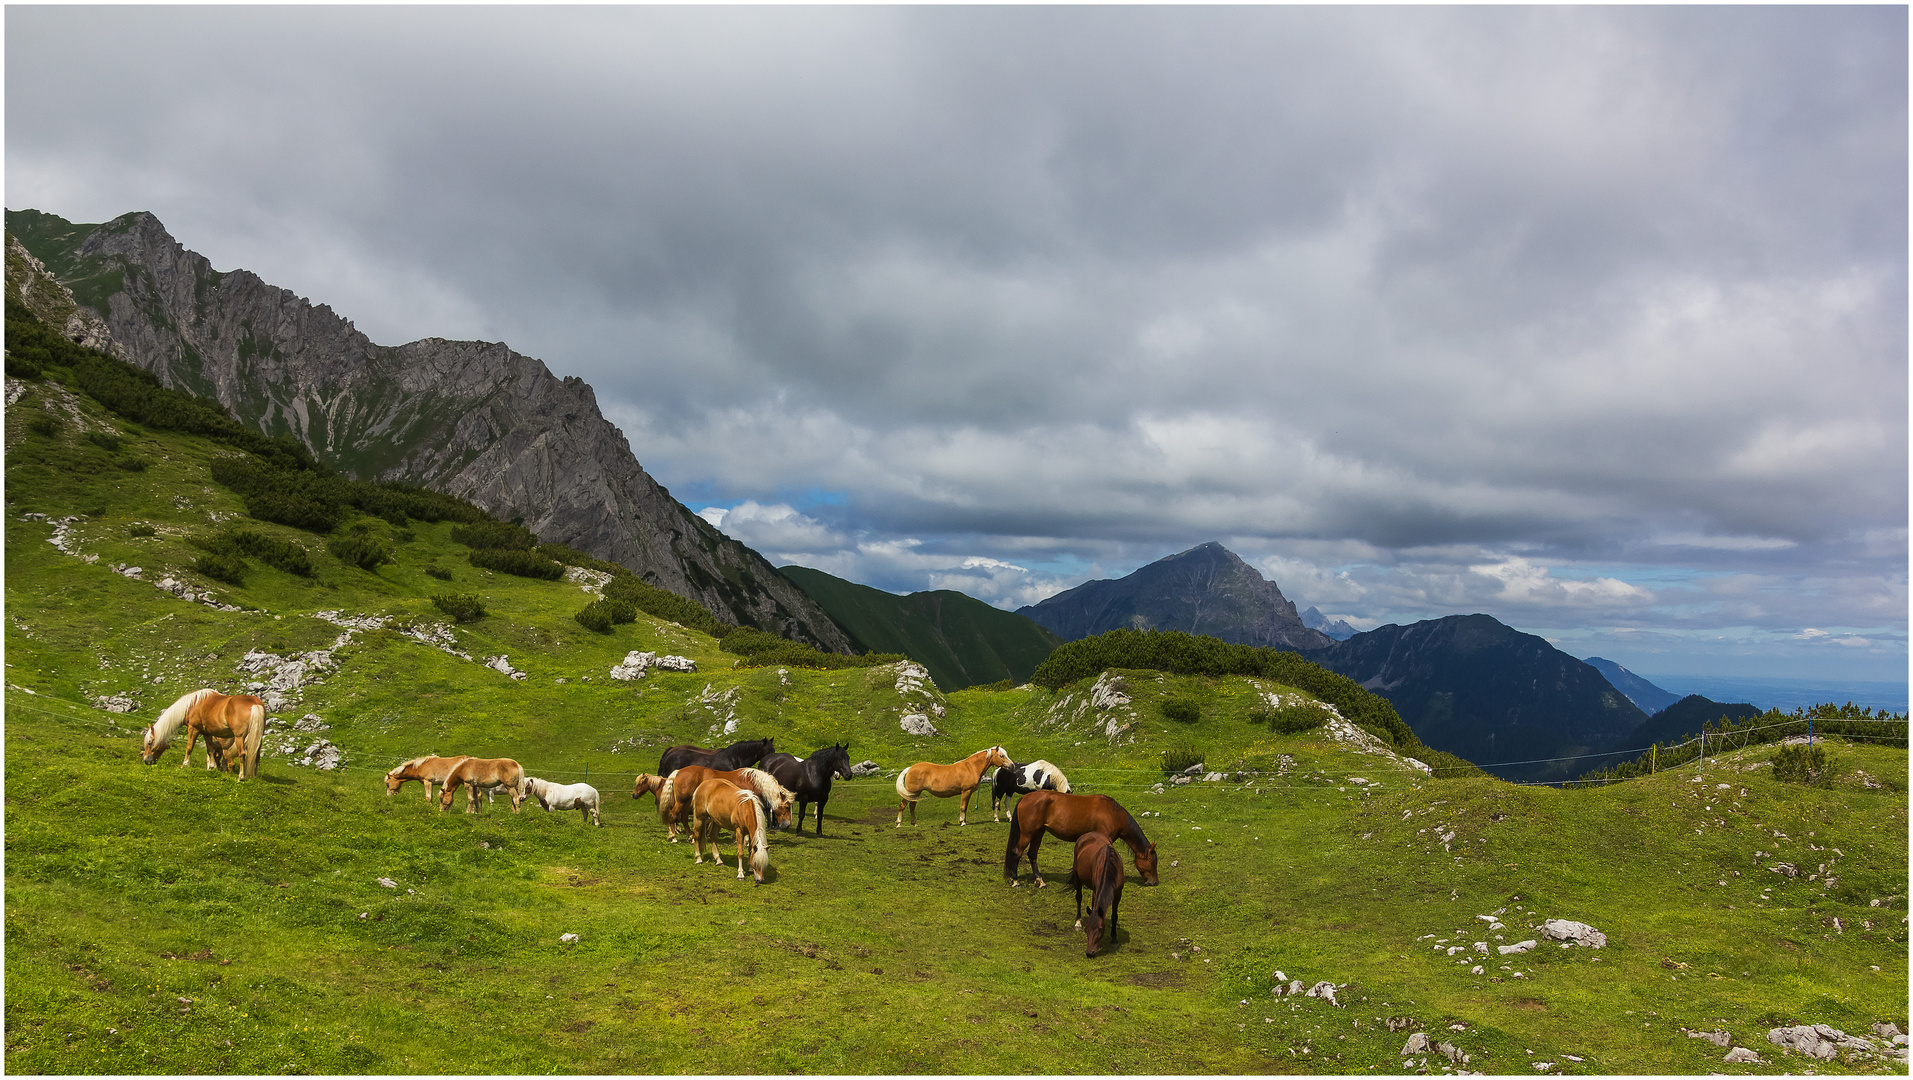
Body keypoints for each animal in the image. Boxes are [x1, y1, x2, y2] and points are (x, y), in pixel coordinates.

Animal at [658, 760, 791, 837]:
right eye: (787, 806)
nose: (787, 825)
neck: (752, 782)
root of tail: (679, 771)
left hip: (687, 802)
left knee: (684, 818)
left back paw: (690, 836)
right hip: (681, 801)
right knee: (673, 815)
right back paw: (673, 836)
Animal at [1010, 787, 1155, 886]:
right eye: (1152, 862)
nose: (1154, 882)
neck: (1114, 814)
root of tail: (1024, 798)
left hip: (1038, 833)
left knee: (1032, 854)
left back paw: (1040, 881)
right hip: (1027, 834)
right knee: (1017, 852)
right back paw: (1015, 881)